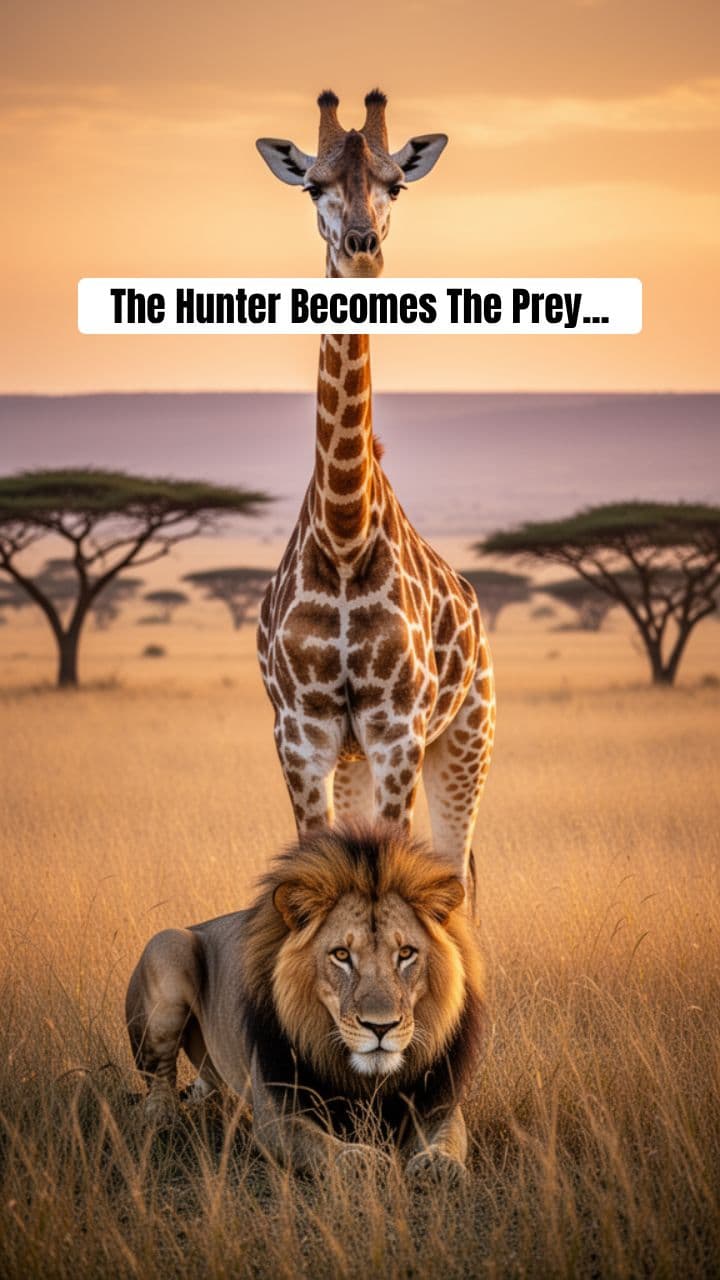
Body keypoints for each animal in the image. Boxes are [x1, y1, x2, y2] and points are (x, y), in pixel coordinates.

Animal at [125, 825, 484, 1180]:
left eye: (406, 953)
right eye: (341, 955)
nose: (380, 1027)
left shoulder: (438, 1101)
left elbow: (448, 1137)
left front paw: (439, 1164)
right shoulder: (276, 1112)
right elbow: (320, 1144)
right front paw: (362, 1160)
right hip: (168, 946)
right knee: (159, 1078)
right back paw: (163, 1117)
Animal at [255, 90, 495, 884]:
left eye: (397, 184)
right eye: (313, 185)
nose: (363, 247)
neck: (343, 531)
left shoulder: (399, 731)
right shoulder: (303, 733)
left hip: (469, 737)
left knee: (455, 876)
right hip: (358, 760)